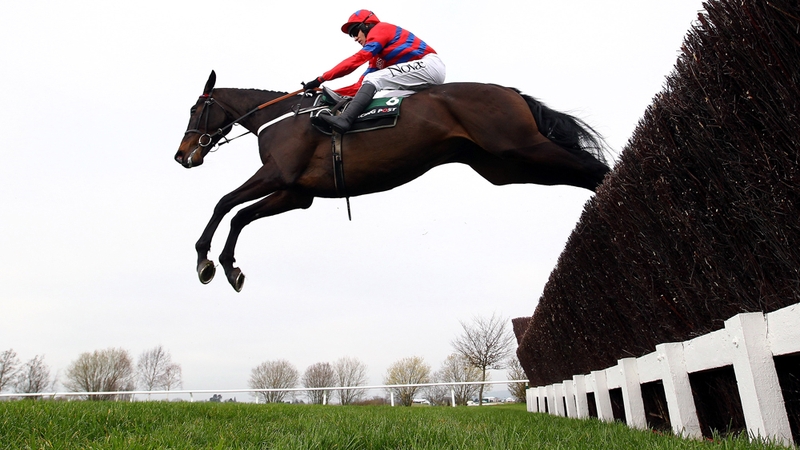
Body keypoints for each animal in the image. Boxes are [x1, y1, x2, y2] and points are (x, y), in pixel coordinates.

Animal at [175, 71, 611, 292]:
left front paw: (203, 259)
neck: (282, 116)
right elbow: (239, 216)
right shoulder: (296, 192)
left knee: (593, 170)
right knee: (580, 174)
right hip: (506, 167)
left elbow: (223, 203)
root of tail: (508, 90)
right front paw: (228, 266)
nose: (182, 155)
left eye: (196, 109)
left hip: (520, 147)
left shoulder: (277, 174)